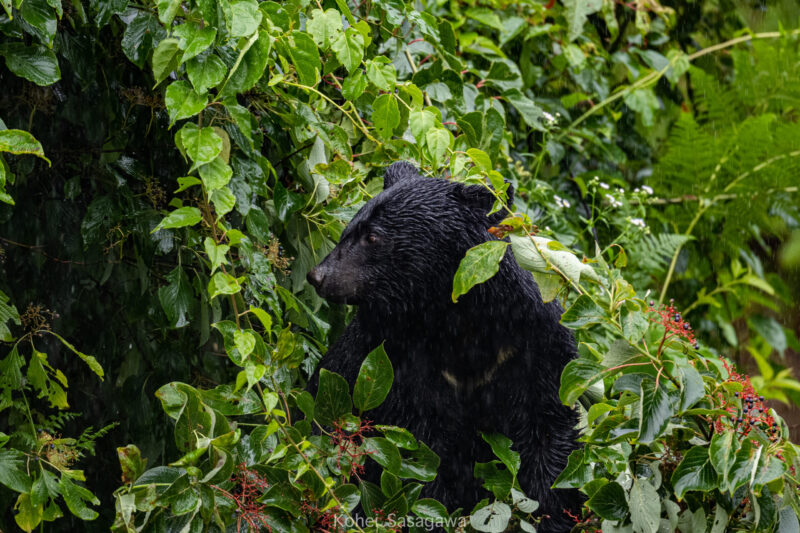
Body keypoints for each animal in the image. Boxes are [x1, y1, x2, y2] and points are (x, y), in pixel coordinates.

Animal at [308, 162, 580, 532]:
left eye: (373, 236)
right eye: (351, 227)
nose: (318, 276)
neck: (457, 318)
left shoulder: (533, 347)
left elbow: (547, 433)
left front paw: (550, 514)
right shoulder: (398, 357)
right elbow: (419, 450)